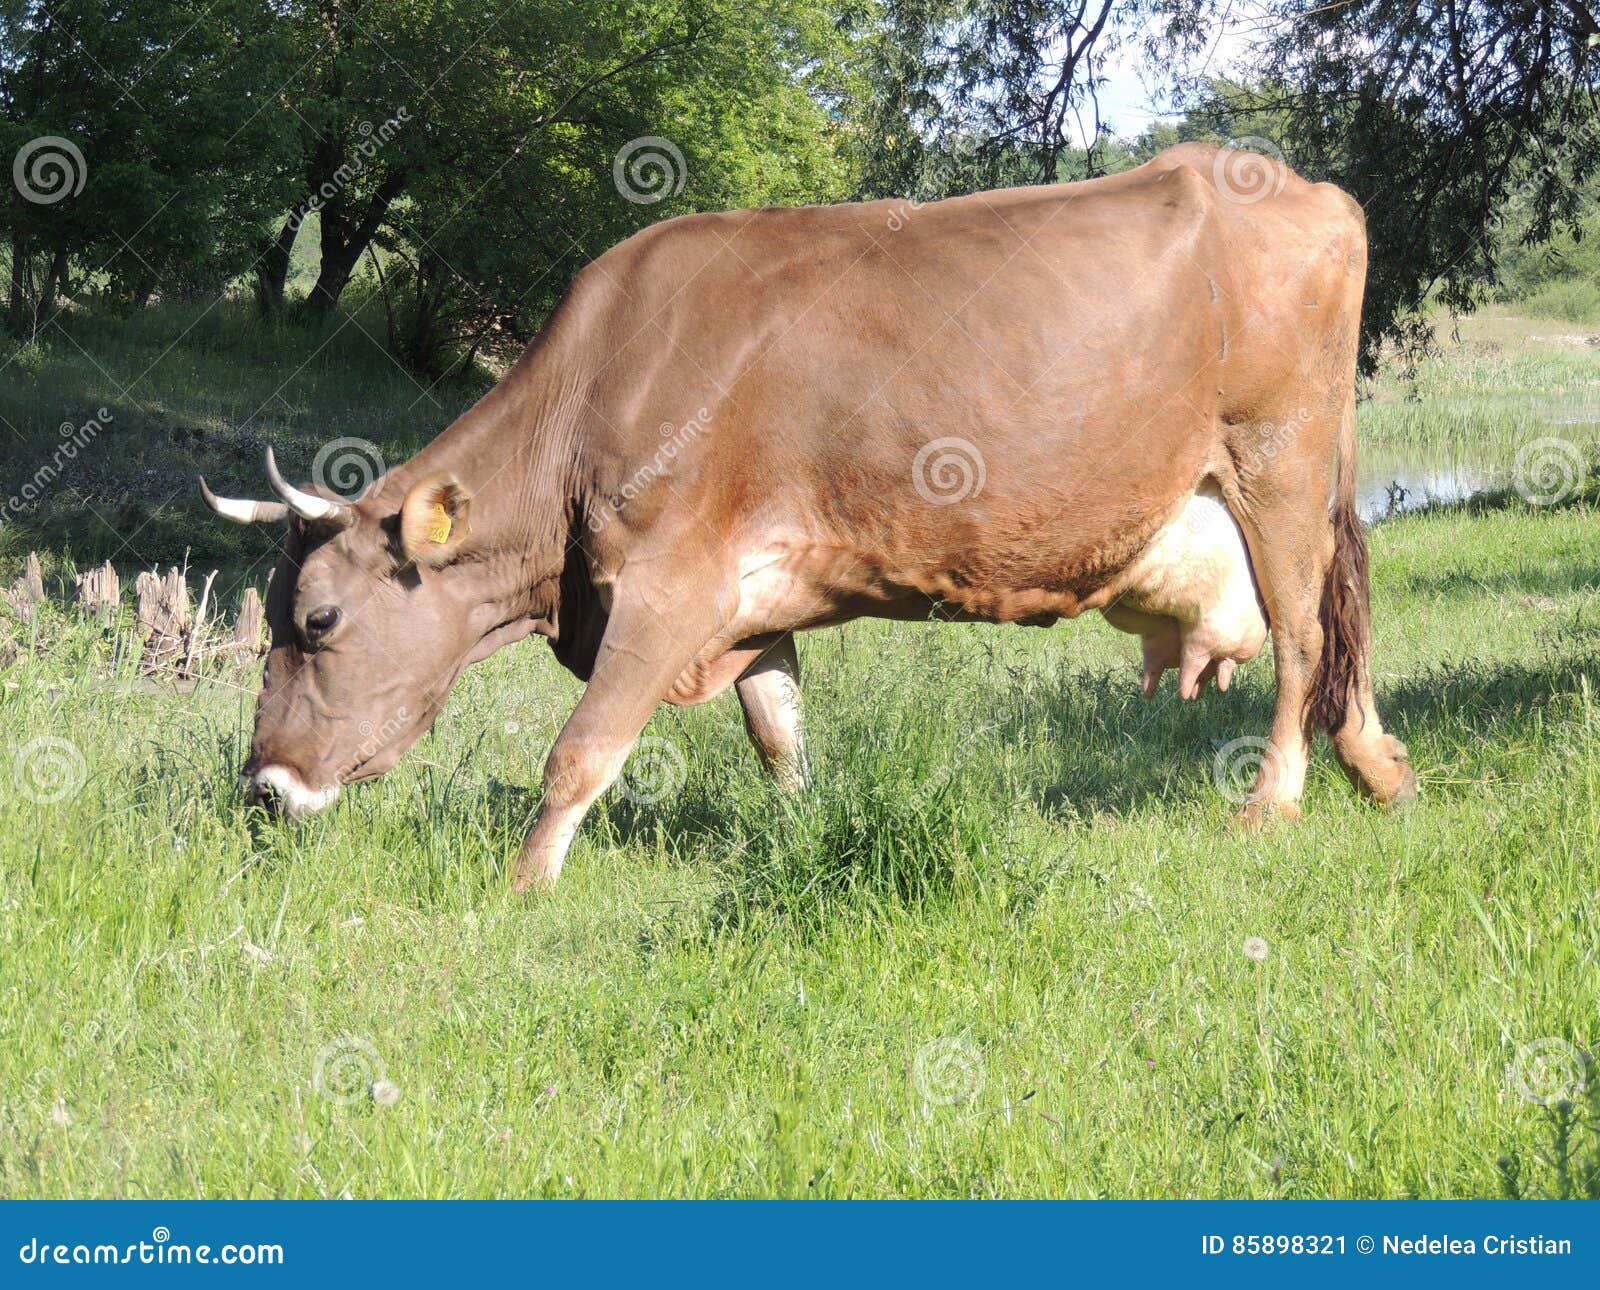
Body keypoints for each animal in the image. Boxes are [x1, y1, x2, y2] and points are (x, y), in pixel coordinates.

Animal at [200, 142, 1416, 890]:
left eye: (317, 620)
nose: (263, 787)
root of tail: (1299, 186)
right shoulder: (752, 600)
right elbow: (779, 735)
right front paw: (802, 836)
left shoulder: (668, 584)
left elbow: (581, 752)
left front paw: (521, 885)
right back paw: (1376, 769)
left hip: (1278, 461)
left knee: (1304, 635)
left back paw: (1275, 801)